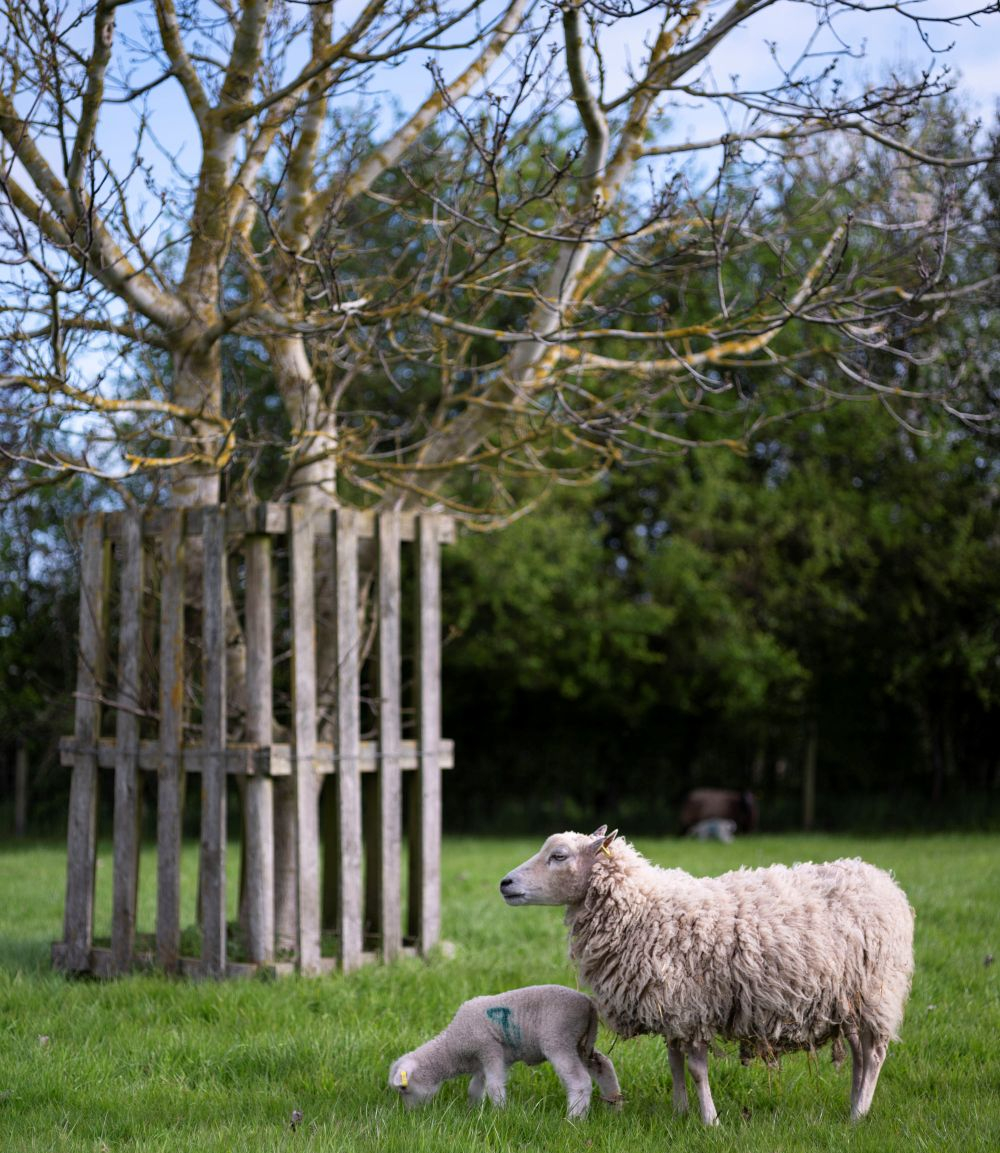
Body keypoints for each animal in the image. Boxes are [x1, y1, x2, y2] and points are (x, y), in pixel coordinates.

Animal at [388, 984, 622, 1118]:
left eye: (404, 1089)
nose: (409, 1115)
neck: (453, 1045)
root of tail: (588, 1004)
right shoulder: (483, 1061)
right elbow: (475, 1087)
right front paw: (473, 1111)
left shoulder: (489, 1049)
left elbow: (493, 1087)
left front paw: (499, 1113)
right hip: (581, 1043)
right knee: (604, 1065)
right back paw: (614, 1107)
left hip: (559, 1039)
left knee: (580, 1081)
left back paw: (575, 1119)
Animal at [500, 827, 914, 1125]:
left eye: (559, 856)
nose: (505, 883)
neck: (645, 909)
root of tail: (883, 880)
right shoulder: (670, 1006)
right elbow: (673, 1061)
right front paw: (679, 1111)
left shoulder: (692, 1006)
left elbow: (697, 1069)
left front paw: (709, 1120)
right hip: (848, 999)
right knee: (859, 1053)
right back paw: (853, 1103)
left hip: (878, 991)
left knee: (874, 1054)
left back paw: (858, 1115)